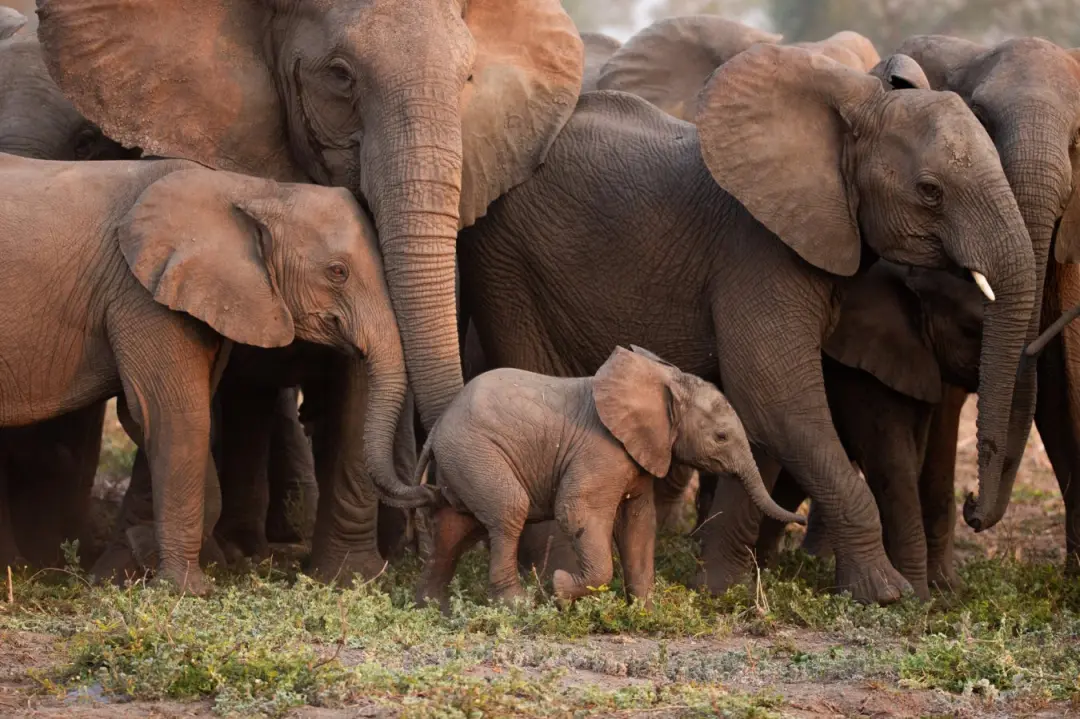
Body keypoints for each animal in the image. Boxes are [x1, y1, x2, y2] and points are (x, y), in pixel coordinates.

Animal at [0, 154, 426, 594]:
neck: (253, 189)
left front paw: (143, 555)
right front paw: (186, 589)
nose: (427, 491)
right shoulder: (143, 296)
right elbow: (177, 417)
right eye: (337, 272)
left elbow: (164, 418)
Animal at [414, 345, 804, 611]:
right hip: (475, 451)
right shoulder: (602, 450)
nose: (799, 519)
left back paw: (433, 607)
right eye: (721, 437)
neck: (663, 380)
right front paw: (560, 588)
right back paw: (517, 604)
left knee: (456, 526)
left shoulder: (639, 454)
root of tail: (437, 429)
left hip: (464, 461)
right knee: (508, 510)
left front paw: (646, 613)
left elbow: (639, 522)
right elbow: (577, 510)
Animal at [457, 44, 1039, 605]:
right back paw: (542, 571)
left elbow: (756, 420)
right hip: (508, 264)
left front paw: (718, 589)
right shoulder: (758, 253)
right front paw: (884, 595)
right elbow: (778, 402)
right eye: (930, 190)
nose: (972, 506)